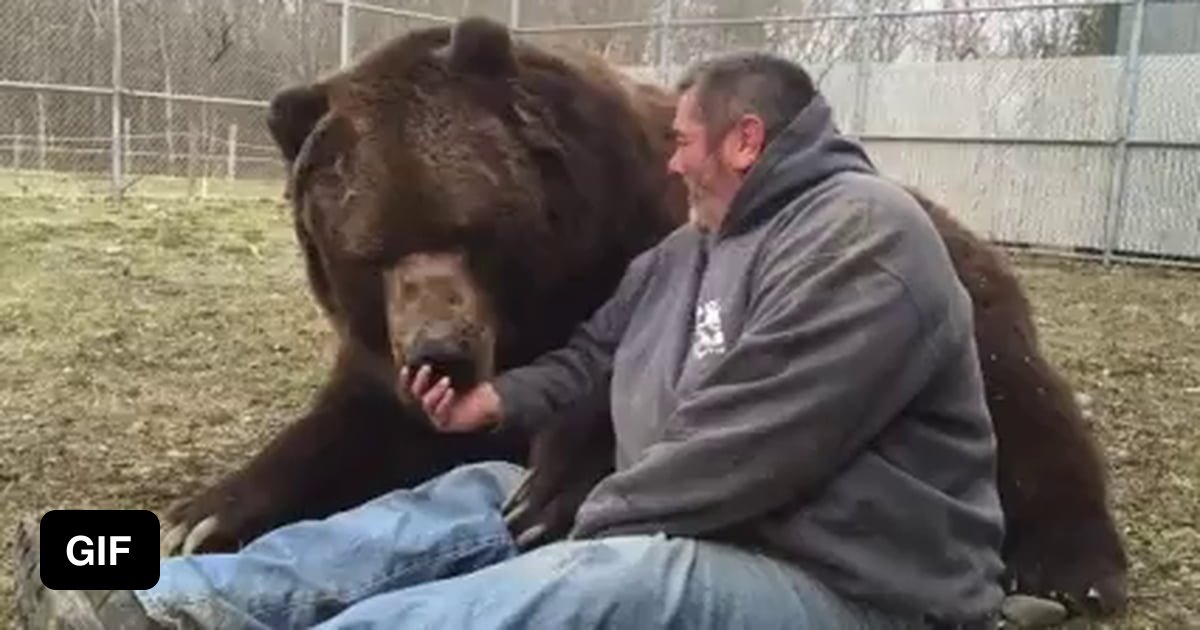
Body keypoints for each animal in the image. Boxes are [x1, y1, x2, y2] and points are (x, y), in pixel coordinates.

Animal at [159, 14, 1123, 619]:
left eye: (470, 228)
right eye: (368, 250)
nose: (442, 350)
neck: (540, 296)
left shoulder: (635, 241)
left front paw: (549, 490)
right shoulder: (381, 356)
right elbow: (349, 430)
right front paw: (197, 515)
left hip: (984, 320)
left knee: (1032, 424)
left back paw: (1071, 570)